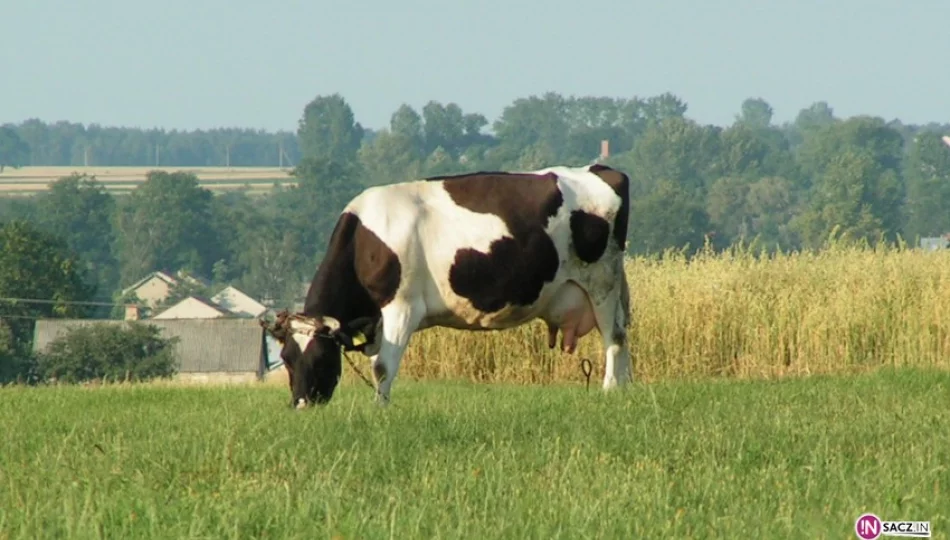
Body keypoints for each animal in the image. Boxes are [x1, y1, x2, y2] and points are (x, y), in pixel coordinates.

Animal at [260, 162, 632, 408]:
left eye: (322, 358)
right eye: (287, 358)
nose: (301, 405)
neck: (364, 240)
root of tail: (600, 169)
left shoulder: (401, 308)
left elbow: (382, 367)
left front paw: (380, 410)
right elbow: (378, 362)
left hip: (602, 283)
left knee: (613, 337)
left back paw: (610, 389)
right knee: (622, 332)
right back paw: (626, 387)